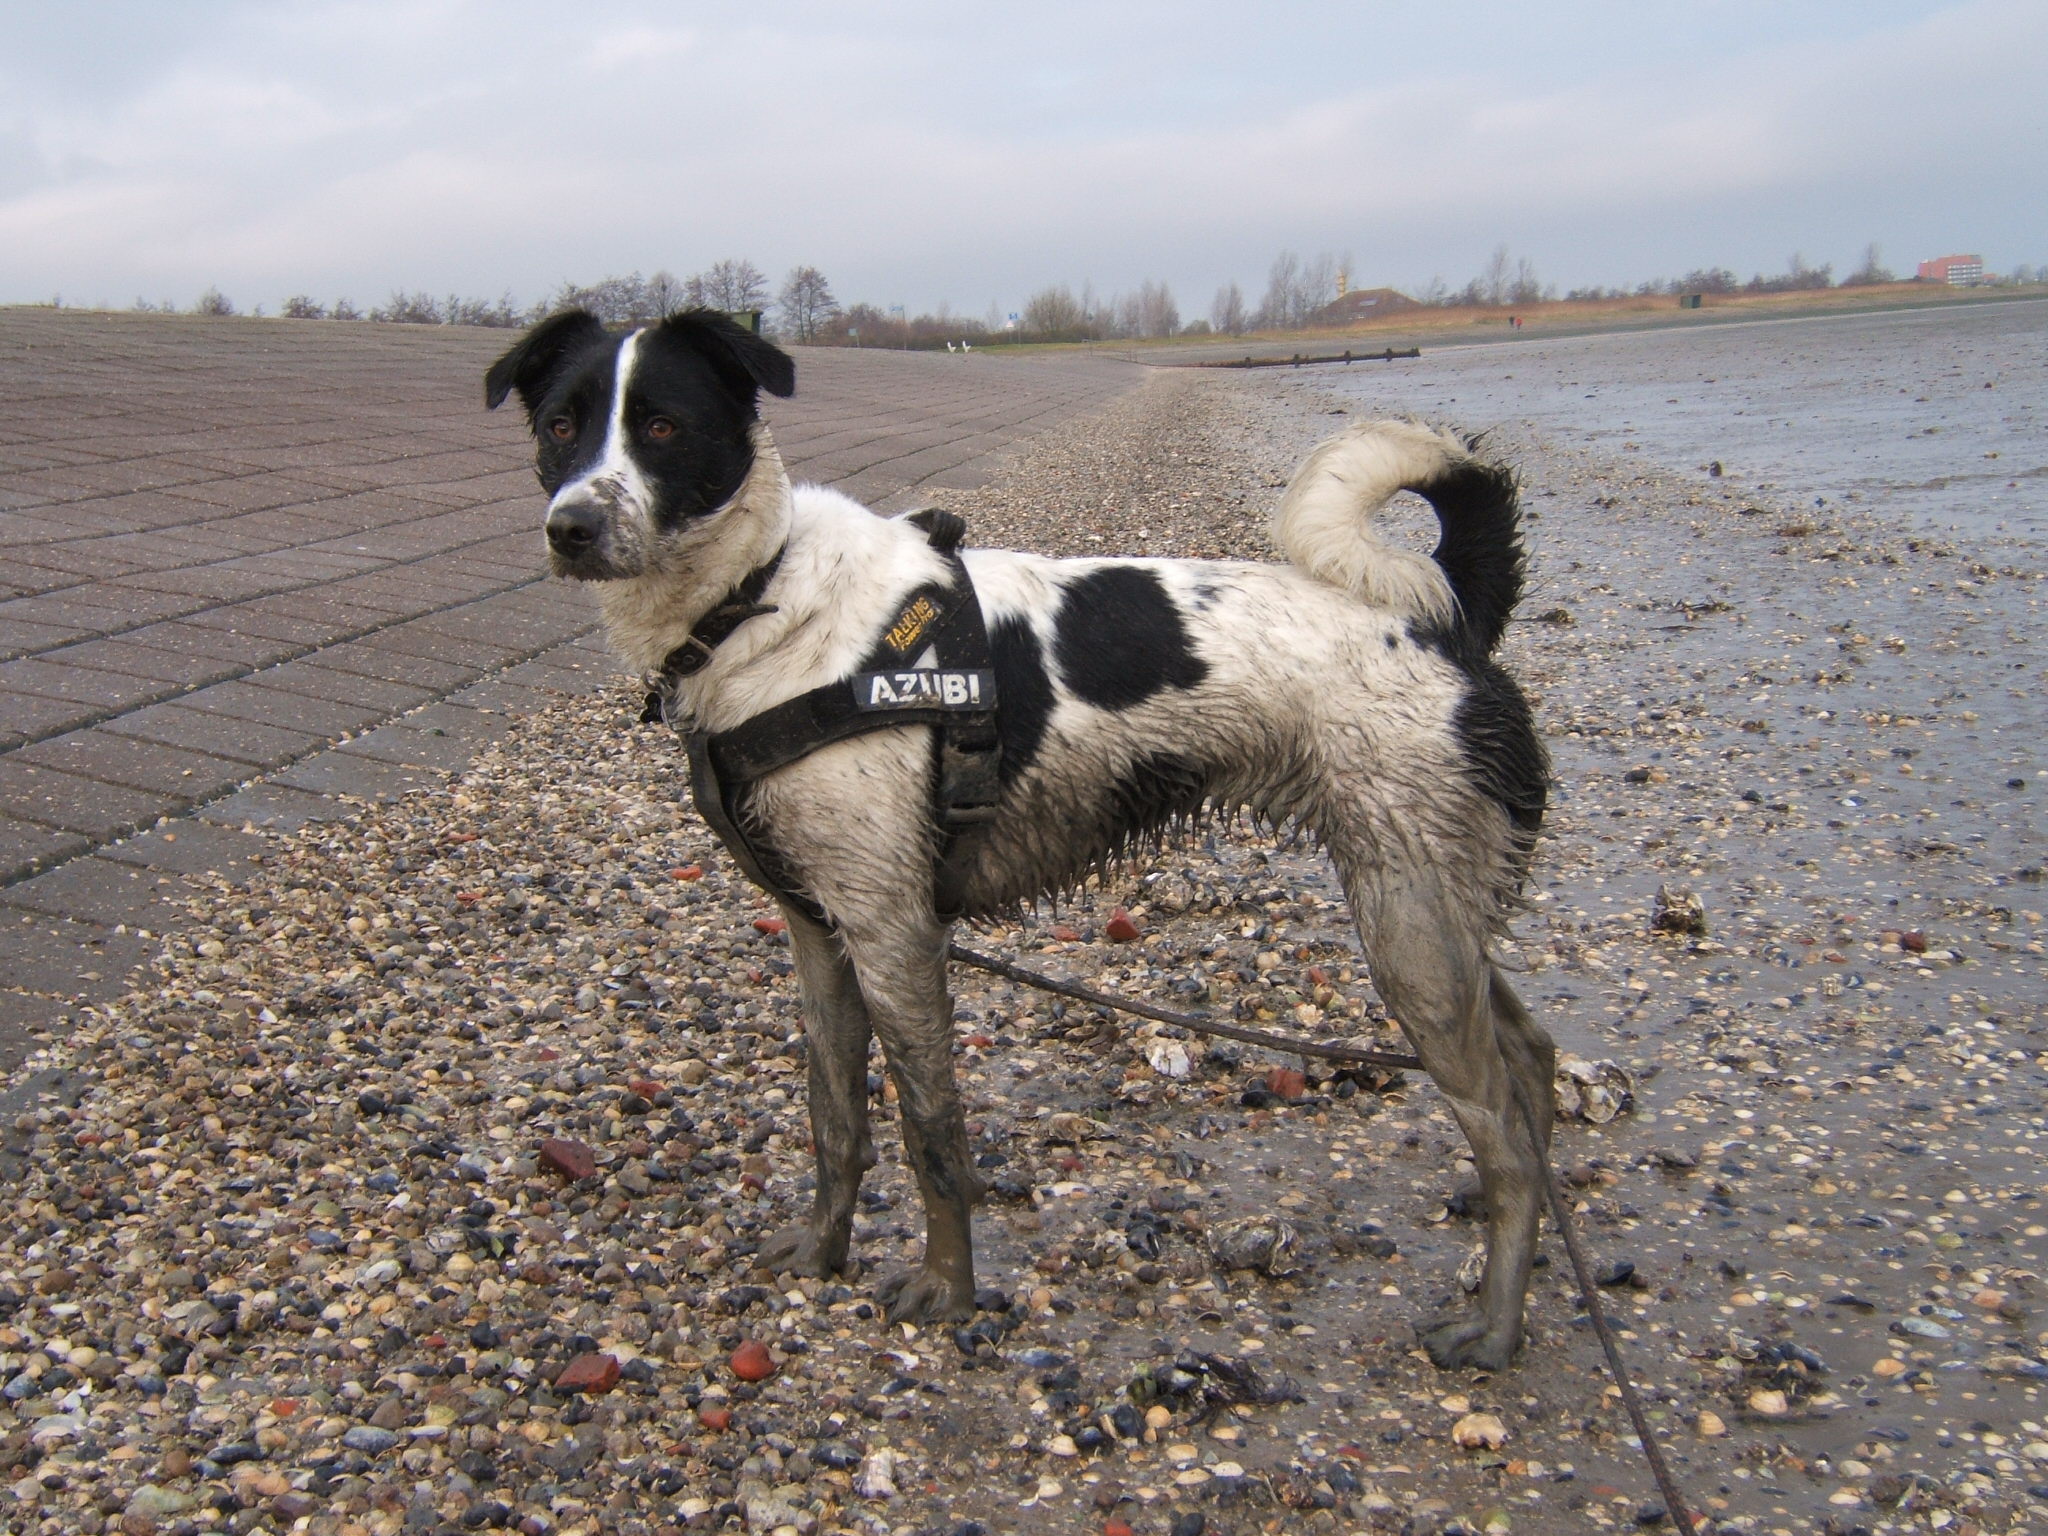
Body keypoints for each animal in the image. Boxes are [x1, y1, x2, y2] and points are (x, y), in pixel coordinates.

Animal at [491, 309, 1548, 1368]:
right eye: (560, 426)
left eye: (663, 427)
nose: (570, 528)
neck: (763, 593)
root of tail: (1445, 617)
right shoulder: (821, 933)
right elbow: (834, 1117)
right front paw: (825, 1249)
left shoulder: (894, 933)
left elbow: (931, 1132)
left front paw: (948, 1287)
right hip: (1431, 914)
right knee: (1527, 1056)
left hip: (1407, 928)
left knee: (1502, 1135)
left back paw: (1500, 1325)